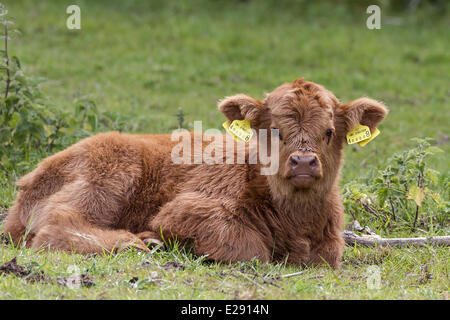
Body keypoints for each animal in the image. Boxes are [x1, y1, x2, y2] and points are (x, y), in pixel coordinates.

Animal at [2, 79, 386, 268]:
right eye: (275, 130)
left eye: (329, 132)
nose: (304, 162)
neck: (297, 221)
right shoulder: (185, 209)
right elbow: (250, 250)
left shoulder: (330, 244)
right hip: (107, 177)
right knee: (56, 226)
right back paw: (136, 243)